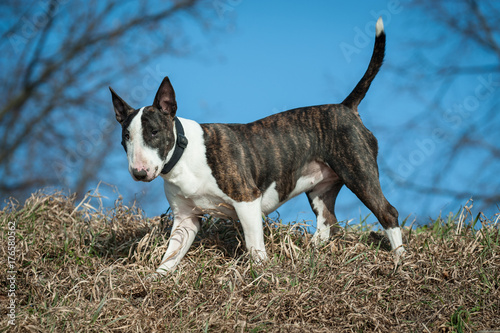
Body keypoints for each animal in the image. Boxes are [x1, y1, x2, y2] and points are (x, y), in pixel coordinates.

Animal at [108, 16, 402, 274]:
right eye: (126, 137)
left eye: (154, 132)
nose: (139, 173)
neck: (184, 154)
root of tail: (345, 107)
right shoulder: (185, 219)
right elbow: (171, 255)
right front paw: (156, 279)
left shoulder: (246, 199)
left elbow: (254, 246)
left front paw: (260, 272)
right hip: (320, 188)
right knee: (327, 220)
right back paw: (310, 255)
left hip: (358, 171)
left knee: (388, 212)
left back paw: (400, 262)